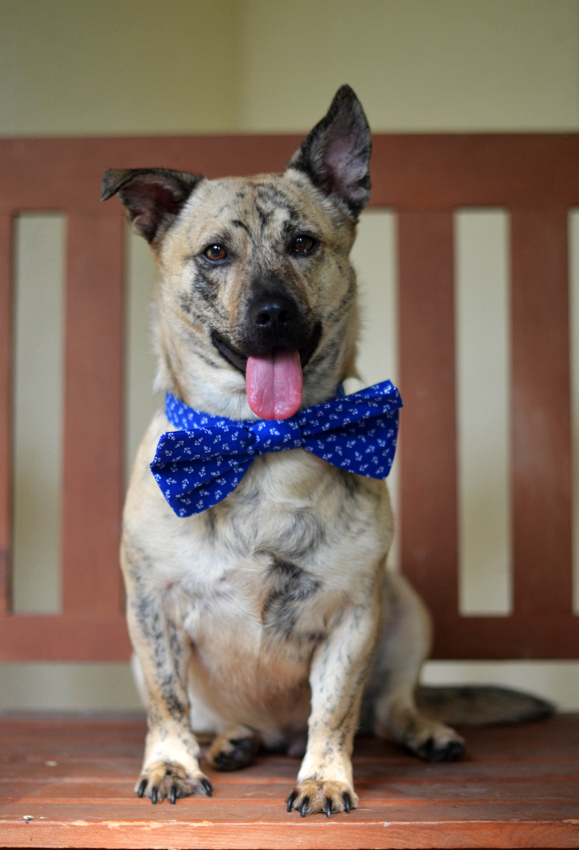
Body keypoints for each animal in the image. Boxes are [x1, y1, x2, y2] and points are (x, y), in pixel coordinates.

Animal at [101, 84, 552, 816]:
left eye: (303, 243)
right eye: (215, 253)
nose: (273, 313)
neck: (263, 438)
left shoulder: (354, 617)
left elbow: (334, 709)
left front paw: (323, 777)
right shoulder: (152, 611)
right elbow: (169, 704)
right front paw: (171, 763)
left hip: (407, 613)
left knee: (391, 707)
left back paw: (426, 731)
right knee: (215, 717)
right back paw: (231, 740)